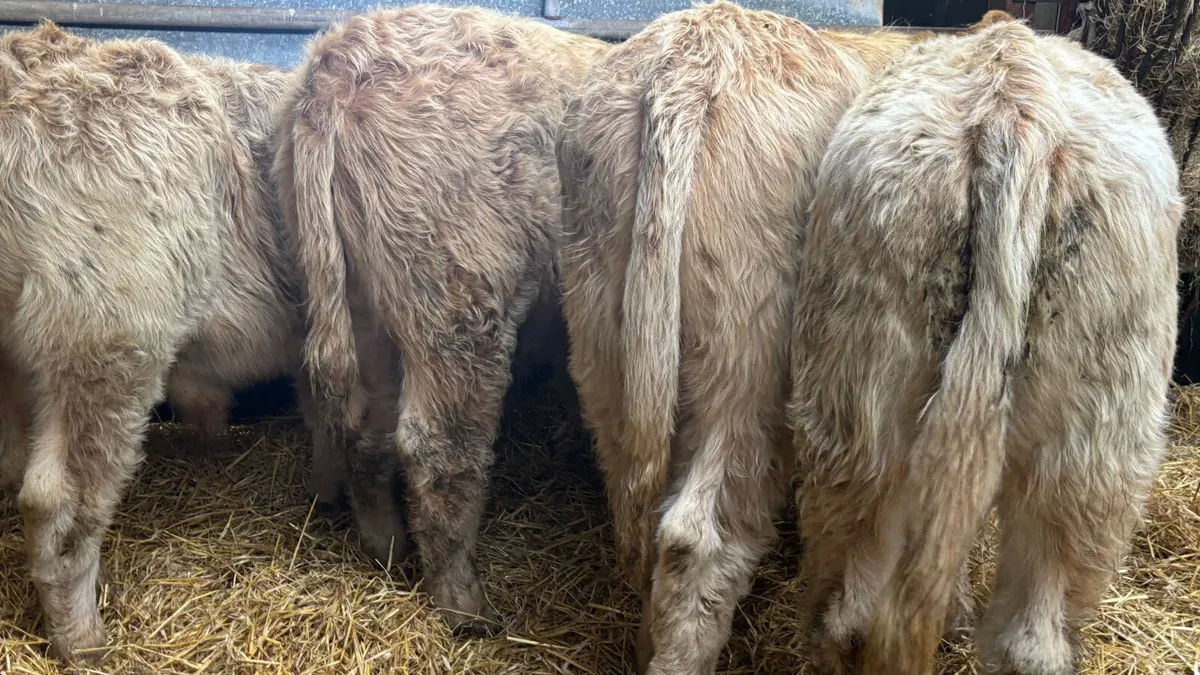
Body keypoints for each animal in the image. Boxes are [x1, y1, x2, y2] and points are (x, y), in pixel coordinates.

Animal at [273, 4, 610, 636]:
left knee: (367, 432)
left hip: (365, 307)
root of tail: (336, 62)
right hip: (457, 304)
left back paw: (386, 550)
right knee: (438, 448)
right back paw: (465, 606)